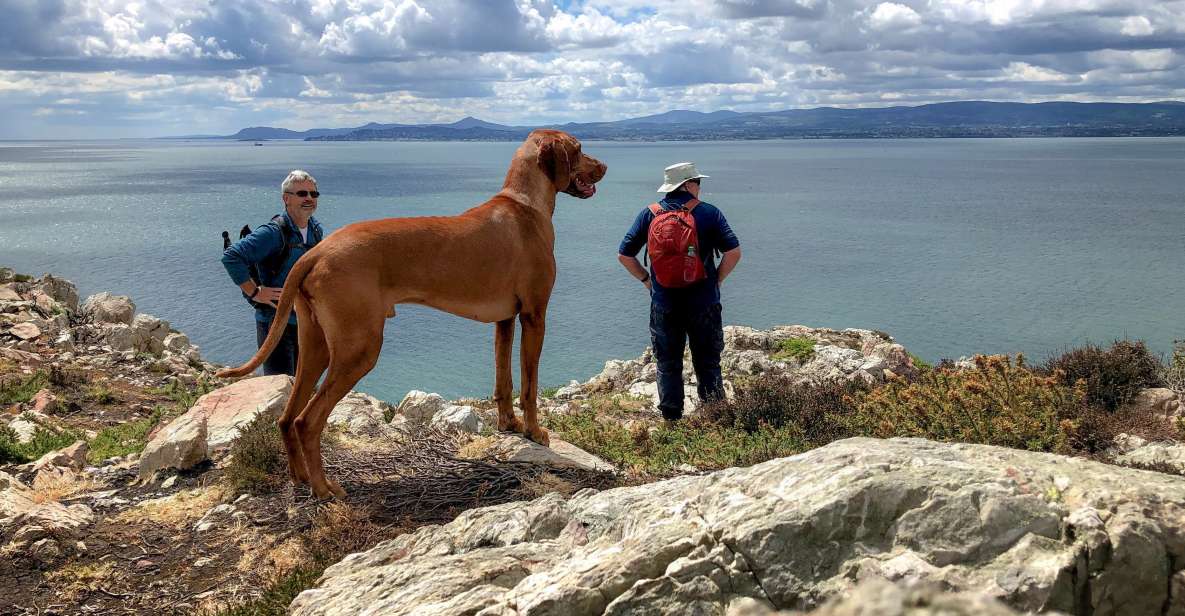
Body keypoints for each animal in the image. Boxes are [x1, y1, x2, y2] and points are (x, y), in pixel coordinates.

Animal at [214, 130, 606, 499]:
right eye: (579, 147)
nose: (603, 166)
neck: (525, 204)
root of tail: (315, 253)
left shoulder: (505, 319)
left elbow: (503, 381)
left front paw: (509, 425)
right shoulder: (535, 316)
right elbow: (529, 385)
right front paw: (535, 432)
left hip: (315, 345)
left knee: (285, 417)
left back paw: (301, 479)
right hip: (360, 348)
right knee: (306, 421)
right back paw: (325, 489)